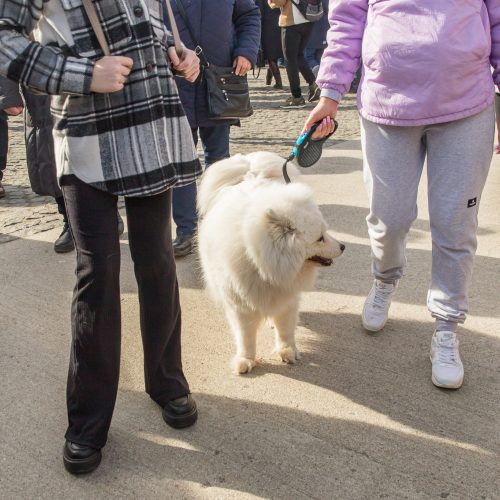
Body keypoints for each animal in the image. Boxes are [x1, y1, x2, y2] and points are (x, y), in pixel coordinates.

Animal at [197, 150, 346, 374]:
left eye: (325, 232)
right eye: (320, 238)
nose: (343, 246)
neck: (264, 267)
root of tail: (251, 171)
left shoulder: (287, 297)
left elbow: (286, 329)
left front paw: (287, 351)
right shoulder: (241, 305)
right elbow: (246, 337)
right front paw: (245, 360)